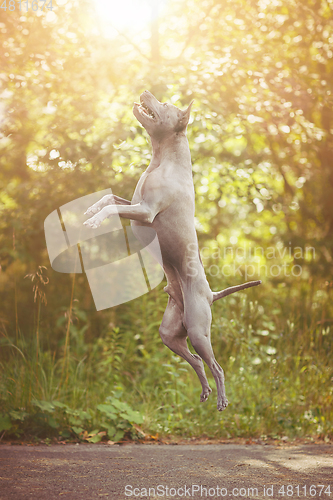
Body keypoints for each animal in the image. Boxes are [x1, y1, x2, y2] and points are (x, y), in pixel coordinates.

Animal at [83, 91, 260, 410]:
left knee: (216, 366)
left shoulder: (145, 211)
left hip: (198, 330)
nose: (145, 92)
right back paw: (205, 391)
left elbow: (113, 206)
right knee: (197, 362)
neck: (162, 159)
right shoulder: (135, 203)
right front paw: (92, 211)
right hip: (170, 334)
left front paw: (94, 220)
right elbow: (109, 199)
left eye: (164, 105)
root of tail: (211, 294)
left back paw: (221, 399)